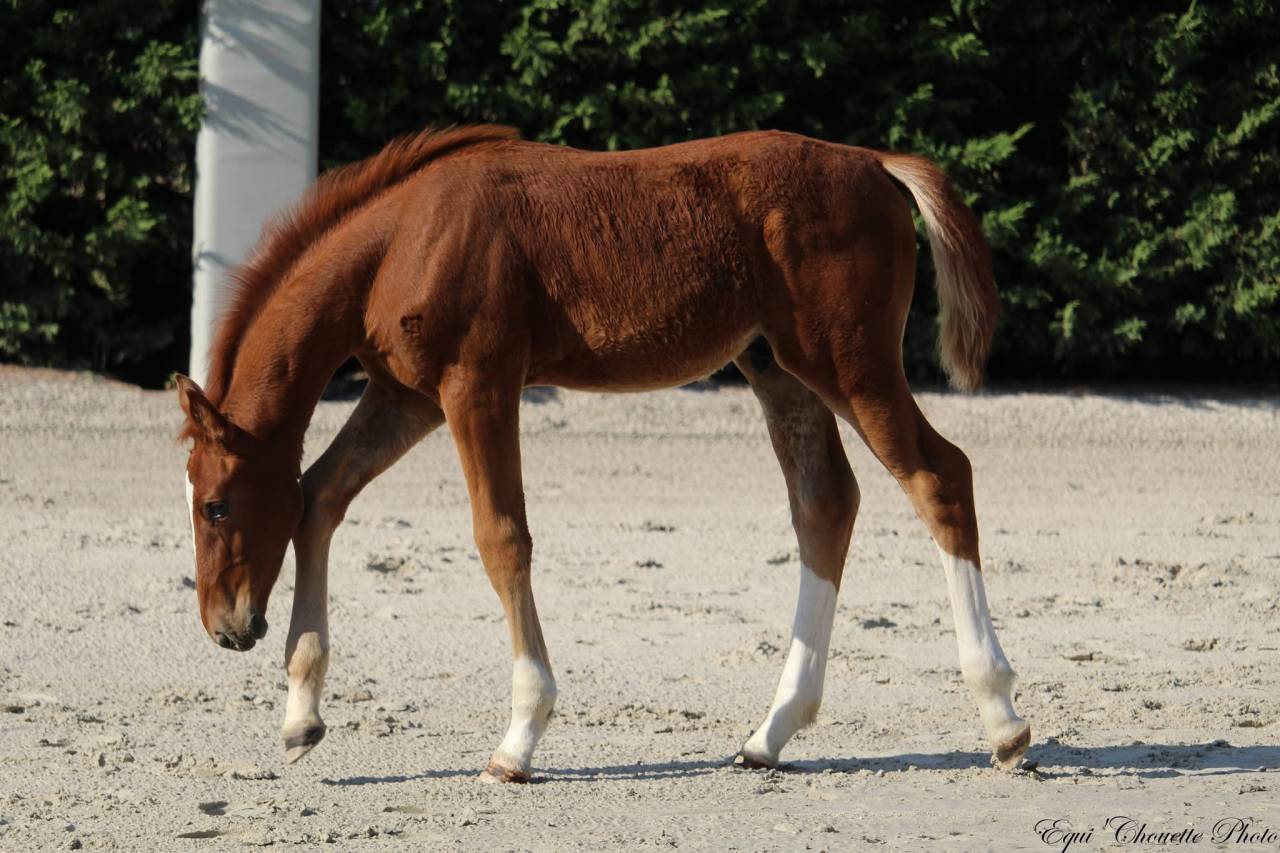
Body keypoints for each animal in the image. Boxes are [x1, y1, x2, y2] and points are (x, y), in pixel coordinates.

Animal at [176, 124, 1029, 783]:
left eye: (215, 504)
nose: (227, 627)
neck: (402, 240)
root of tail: (873, 162)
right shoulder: (404, 395)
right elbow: (319, 495)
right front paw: (300, 717)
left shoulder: (478, 383)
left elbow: (501, 537)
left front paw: (519, 738)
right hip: (777, 368)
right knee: (825, 504)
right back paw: (770, 733)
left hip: (849, 362)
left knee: (939, 476)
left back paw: (1003, 717)